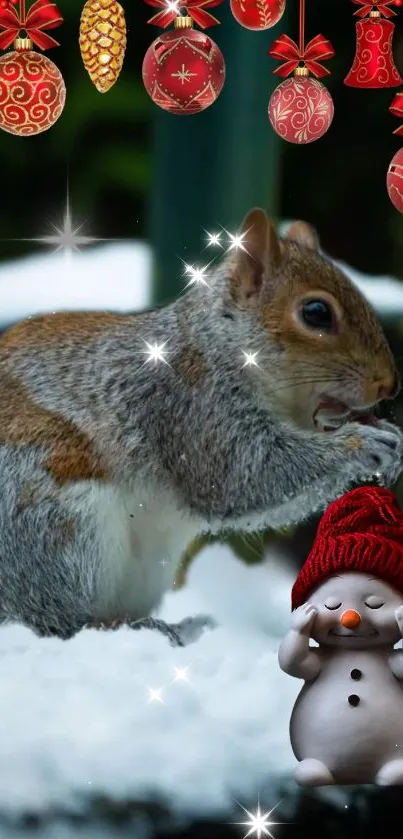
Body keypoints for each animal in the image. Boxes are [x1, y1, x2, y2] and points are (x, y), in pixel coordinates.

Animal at [0, 205, 400, 648]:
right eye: (316, 313)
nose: (388, 384)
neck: (223, 344)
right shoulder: (194, 403)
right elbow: (242, 477)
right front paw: (362, 443)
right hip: (58, 528)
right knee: (54, 619)